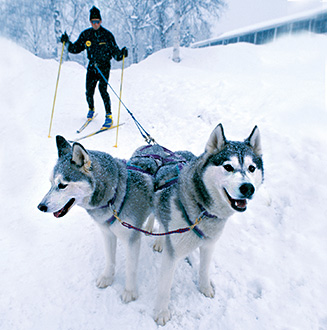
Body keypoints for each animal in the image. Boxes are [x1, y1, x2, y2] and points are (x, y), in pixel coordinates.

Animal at [37, 136, 154, 302]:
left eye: (62, 185)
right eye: (51, 183)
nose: (40, 206)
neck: (116, 195)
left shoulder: (132, 239)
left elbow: (130, 268)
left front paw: (130, 292)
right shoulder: (107, 233)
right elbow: (110, 259)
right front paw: (107, 278)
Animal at [153, 124, 264, 324]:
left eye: (252, 168)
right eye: (228, 167)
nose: (248, 188)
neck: (202, 210)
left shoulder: (209, 245)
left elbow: (204, 270)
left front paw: (205, 288)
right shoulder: (172, 255)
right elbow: (165, 286)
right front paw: (161, 312)